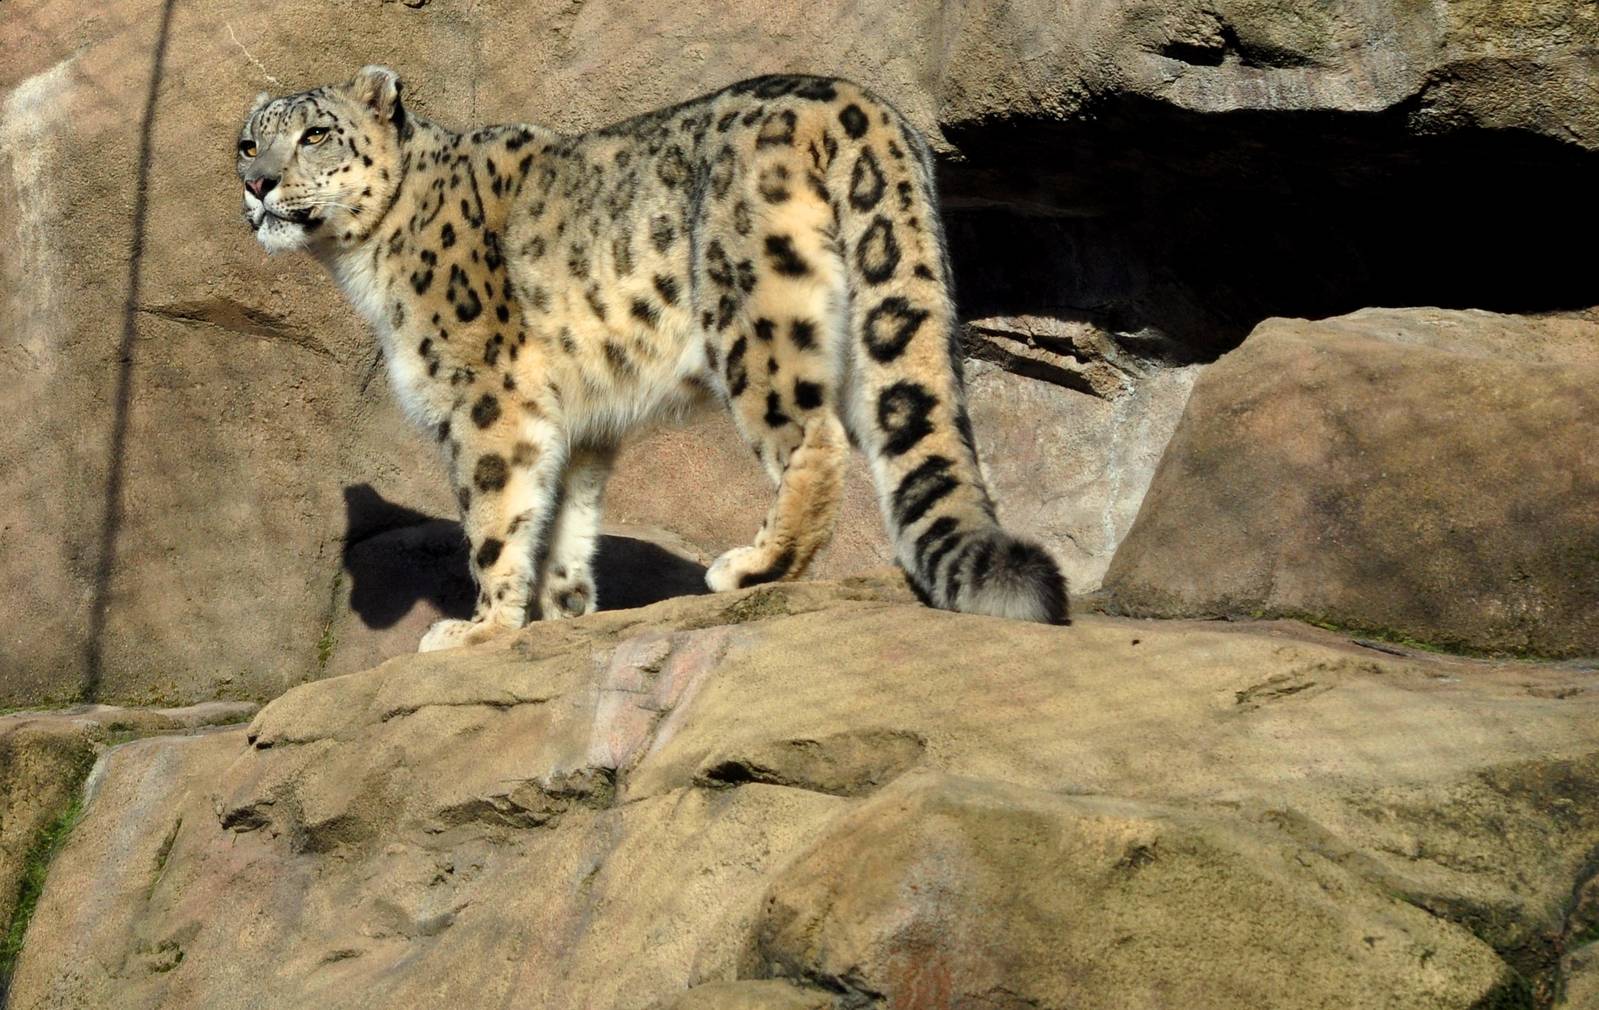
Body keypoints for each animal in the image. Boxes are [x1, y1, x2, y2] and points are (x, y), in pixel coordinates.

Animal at [237, 65, 1067, 651]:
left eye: (315, 135)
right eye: (249, 140)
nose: (256, 183)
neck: (364, 265)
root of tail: (856, 102)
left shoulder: (486, 397)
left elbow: (495, 519)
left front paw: (478, 629)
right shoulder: (572, 423)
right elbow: (561, 521)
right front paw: (561, 613)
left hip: (754, 314)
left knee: (812, 438)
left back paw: (755, 566)